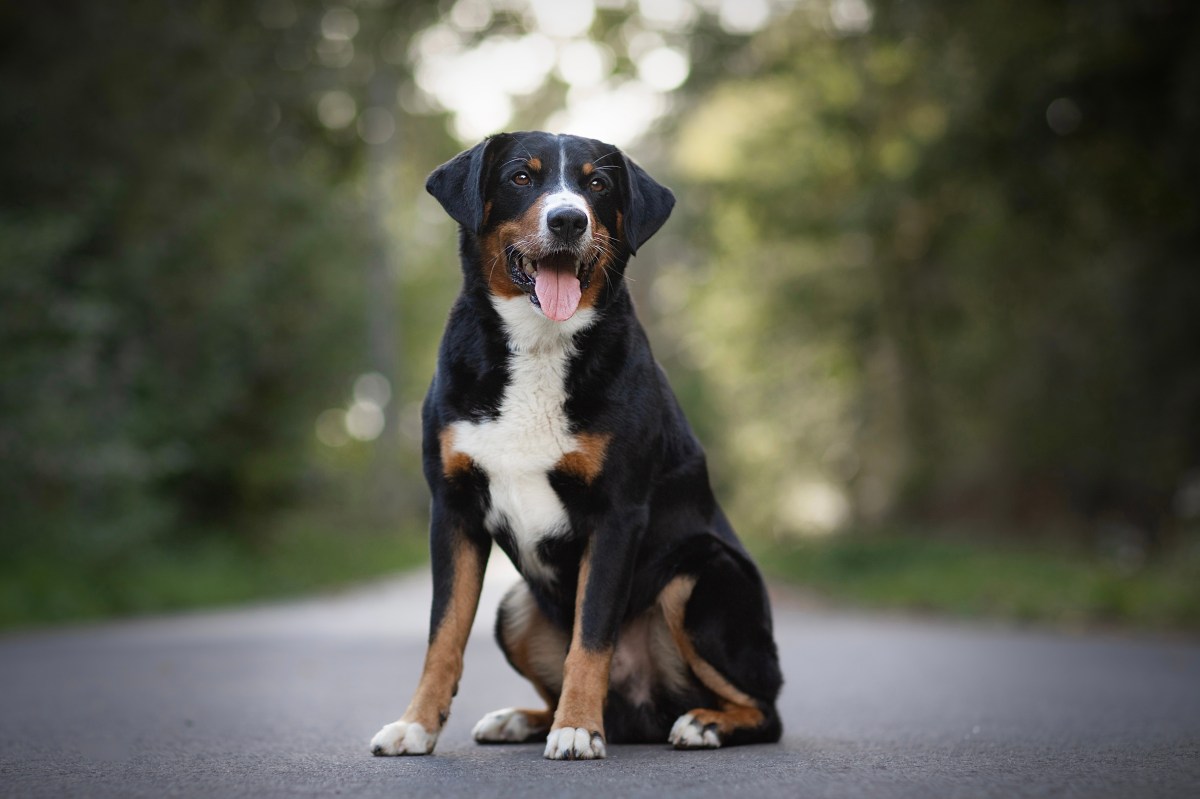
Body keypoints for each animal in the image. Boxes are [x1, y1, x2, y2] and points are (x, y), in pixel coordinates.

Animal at [372, 130, 787, 758]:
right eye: (521, 177)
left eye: (598, 184)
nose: (568, 220)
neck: (541, 346)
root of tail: (642, 711)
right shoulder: (453, 508)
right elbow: (443, 634)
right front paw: (415, 725)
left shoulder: (617, 514)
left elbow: (591, 638)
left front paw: (576, 730)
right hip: (515, 608)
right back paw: (521, 719)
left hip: (699, 576)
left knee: (765, 708)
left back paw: (702, 723)